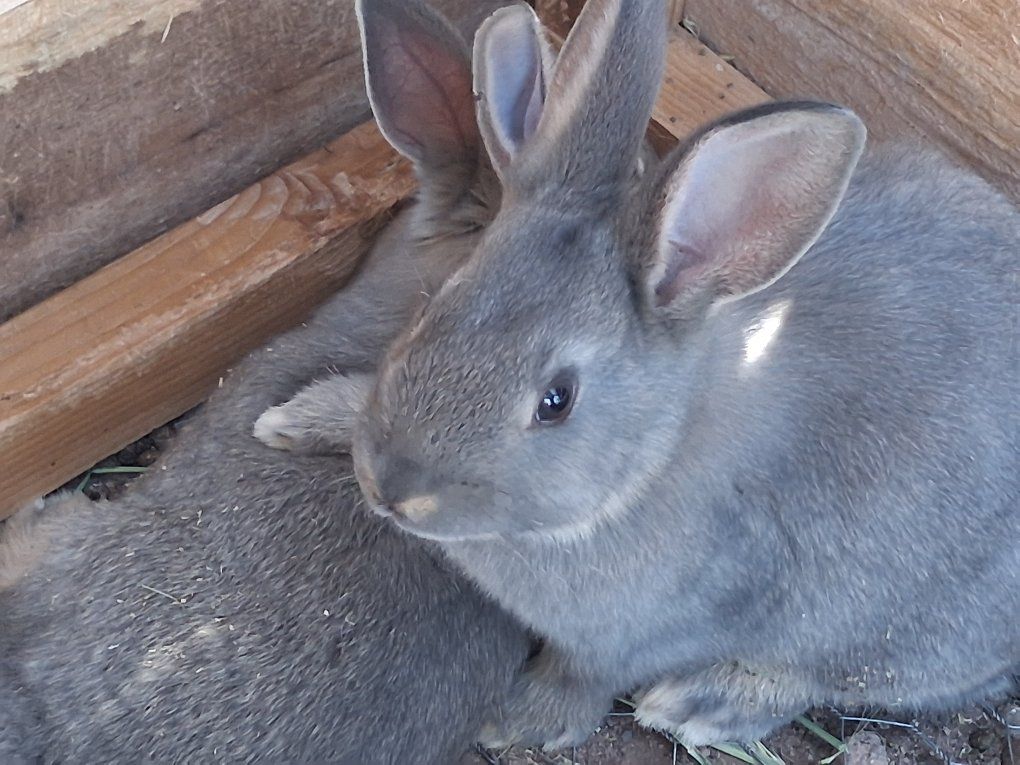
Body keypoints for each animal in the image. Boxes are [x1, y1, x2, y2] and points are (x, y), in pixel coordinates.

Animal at [268, 0, 1020, 751]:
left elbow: (586, 677)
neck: (653, 457)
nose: (393, 489)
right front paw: (296, 418)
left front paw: (515, 721)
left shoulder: (651, 628)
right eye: (436, 306)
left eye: (556, 400)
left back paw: (701, 704)